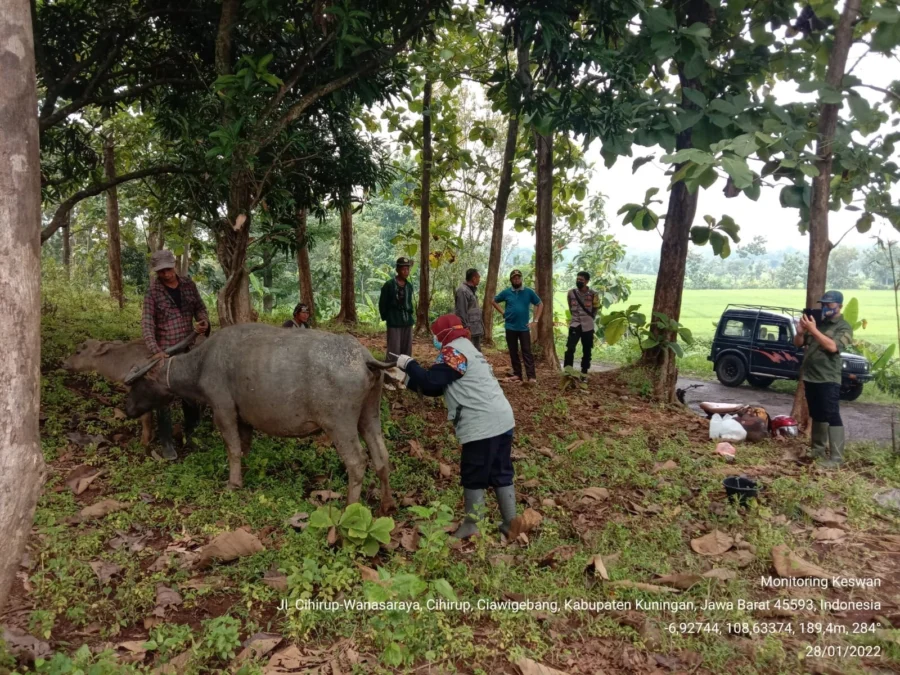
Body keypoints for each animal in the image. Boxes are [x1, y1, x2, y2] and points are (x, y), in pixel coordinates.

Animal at [124, 326, 398, 512]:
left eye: (138, 383)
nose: (127, 408)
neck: (201, 364)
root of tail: (365, 358)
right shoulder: (244, 419)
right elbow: (244, 447)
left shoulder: (223, 409)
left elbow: (233, 448)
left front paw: (233, 483)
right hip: (369, 415)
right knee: (381, 455)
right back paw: (387, 504)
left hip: (339, 424)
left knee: (357, 461)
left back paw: (350, 509)